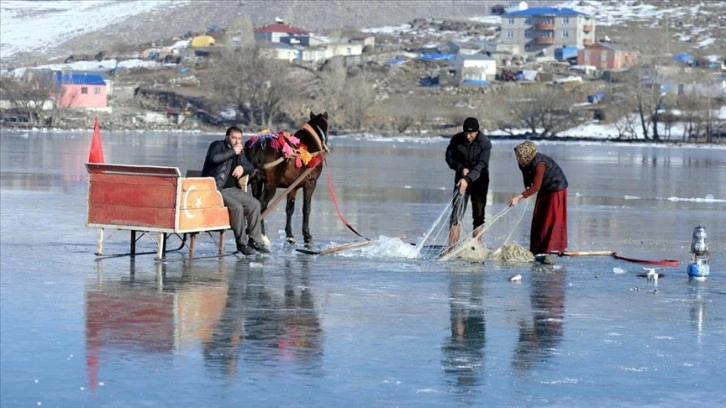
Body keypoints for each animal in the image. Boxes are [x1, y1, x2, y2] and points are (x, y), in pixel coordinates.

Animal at [247, 111, 332, 245]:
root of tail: (259, 146)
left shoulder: (292, 187)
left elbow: (289, 209)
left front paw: (290, 235)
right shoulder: (310, 183)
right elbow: (306, 208)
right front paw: (307, 235)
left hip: (256, 182)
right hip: (270, 185)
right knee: (262, 206)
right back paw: (261, 237)